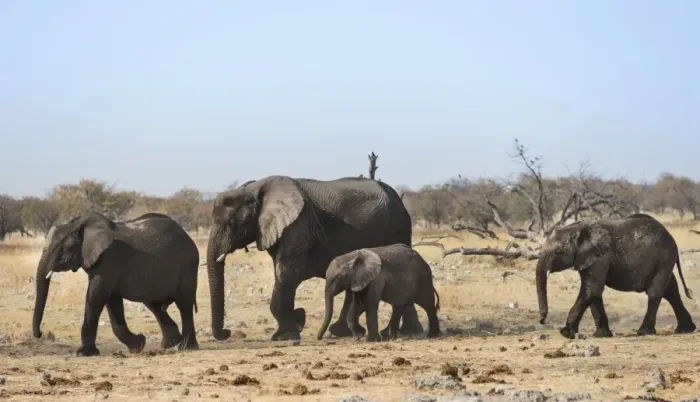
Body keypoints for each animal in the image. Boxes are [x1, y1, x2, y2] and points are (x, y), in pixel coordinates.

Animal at [32, 212, 200, 356]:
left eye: (62, 249)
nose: (40, 334)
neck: (78, 225)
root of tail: (188, 237)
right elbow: (112, 301)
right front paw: (138, 346)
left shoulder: (109, 260)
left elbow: (96, 297)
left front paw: (84, 353)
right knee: (154, 305)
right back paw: (169, 344)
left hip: (188, 266)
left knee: (184, 304)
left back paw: (187, 347)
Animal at [206, 175, 424, 342]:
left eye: (232, 222)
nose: (227, 333)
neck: (253, 188)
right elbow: (283, 276)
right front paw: (292, 327)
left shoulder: (298, 225)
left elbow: (285, 275)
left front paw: (287, 334)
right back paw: (343, 332)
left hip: (398, 225)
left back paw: (408, 333)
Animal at [536, 213, 696, 339]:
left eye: (559, 252)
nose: (543, 321)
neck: (576, 228)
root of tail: (670, 236)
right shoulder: (588, 258)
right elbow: (594, 292)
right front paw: (601, 335)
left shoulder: (600, 257)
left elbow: (591, 290)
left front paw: (565, 333)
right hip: (664, 261)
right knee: (671, 291)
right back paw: (685, 330)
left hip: (664, 258)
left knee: (655, 292)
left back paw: (644, 332)